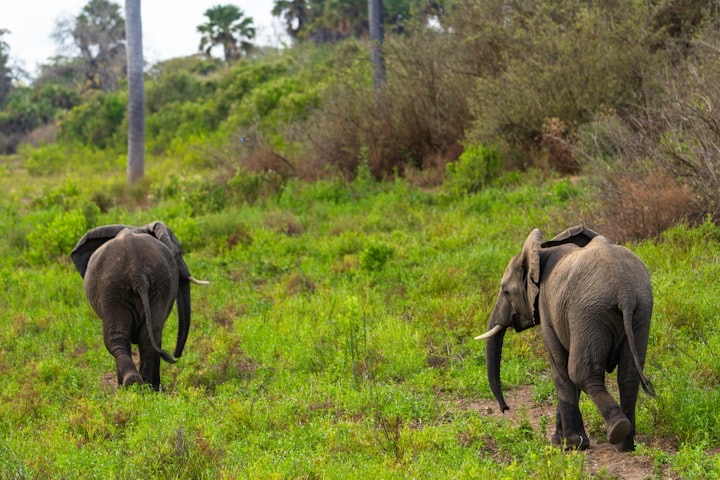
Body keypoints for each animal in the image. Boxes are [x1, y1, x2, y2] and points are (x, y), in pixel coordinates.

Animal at [71, 221, 208, 391]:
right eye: (179, 253)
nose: (176, 356)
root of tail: (135, 268)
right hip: (124, 285)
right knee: (141, 337)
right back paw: (140, 385)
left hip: (122, 286)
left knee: (123, 338)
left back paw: (139, 386)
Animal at [476, 226, 655, 452]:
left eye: (506, 292)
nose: (505, 408)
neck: (539, 253)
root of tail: (624, 289)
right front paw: (560, 441)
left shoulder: (547, 307)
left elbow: (560, 365)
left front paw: (571, 445)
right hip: (640, 310)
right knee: (629, 376)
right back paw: (626, 445)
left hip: (589, 312)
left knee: (581, 372)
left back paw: (616, 430)